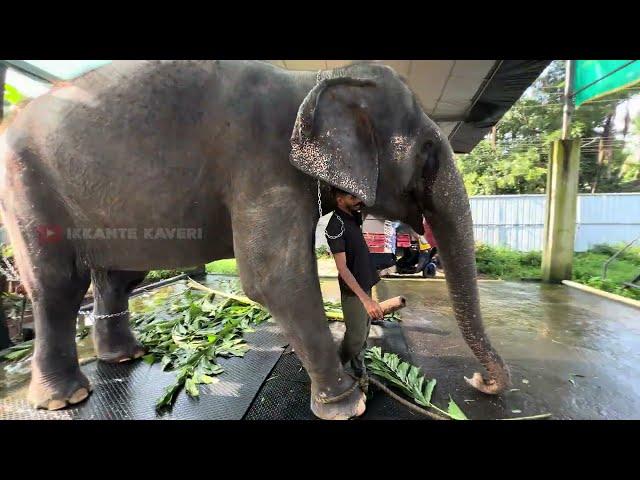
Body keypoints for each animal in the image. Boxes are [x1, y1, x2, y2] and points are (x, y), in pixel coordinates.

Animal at [0, 60, 510, 420]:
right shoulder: (260, 161)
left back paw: (127, 356)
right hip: (25, 187)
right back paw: (66, 398)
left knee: (119, 276)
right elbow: (274, 279)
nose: (479, 383)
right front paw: (346, 404)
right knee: (58, 284)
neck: (312, 81)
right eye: (428, 154)